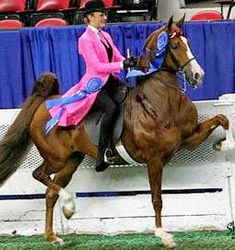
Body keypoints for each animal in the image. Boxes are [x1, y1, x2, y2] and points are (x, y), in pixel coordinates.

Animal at [0, 16, 231, 248]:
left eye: (188, 42)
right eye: (174, 45)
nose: (198, 75)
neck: (160, 100)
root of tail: (45, 102)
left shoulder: (188, 139)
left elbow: (222, 118)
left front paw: (223, 144)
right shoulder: (154, 159)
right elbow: (156, 198)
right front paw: (163, 235)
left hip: (71, 160)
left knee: (50, 193)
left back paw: (54, 234)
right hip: (56, 158)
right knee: (39, 175)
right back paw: (68, 204)